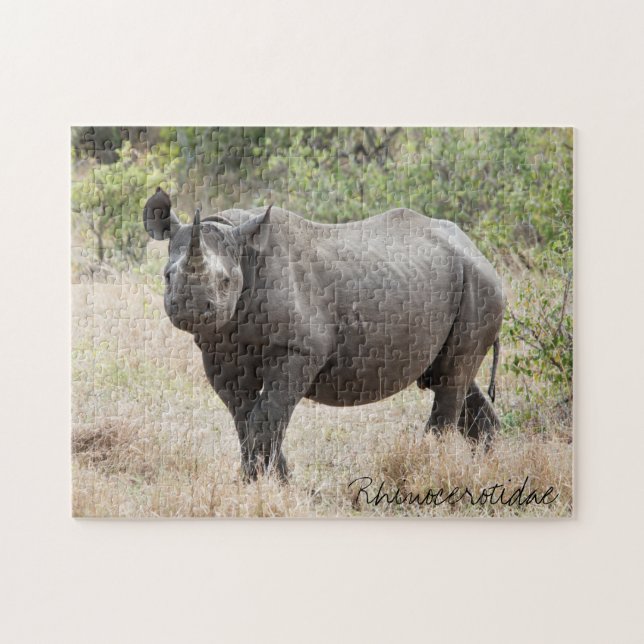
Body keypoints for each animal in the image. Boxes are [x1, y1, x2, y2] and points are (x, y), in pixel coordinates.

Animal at [143, 187, 504, 480]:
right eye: (167, 276)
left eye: (226, 281)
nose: (191, 308)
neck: (241, 246)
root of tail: (478, 251)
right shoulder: (219, 350)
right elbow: (244, 416)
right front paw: (268, 481)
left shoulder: (299, 349)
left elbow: (267, 414)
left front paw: (265, 482)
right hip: (455, 281)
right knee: (451, 377)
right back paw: (487, 467)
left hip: (480, 284)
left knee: (451, 379)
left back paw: (432, 467)